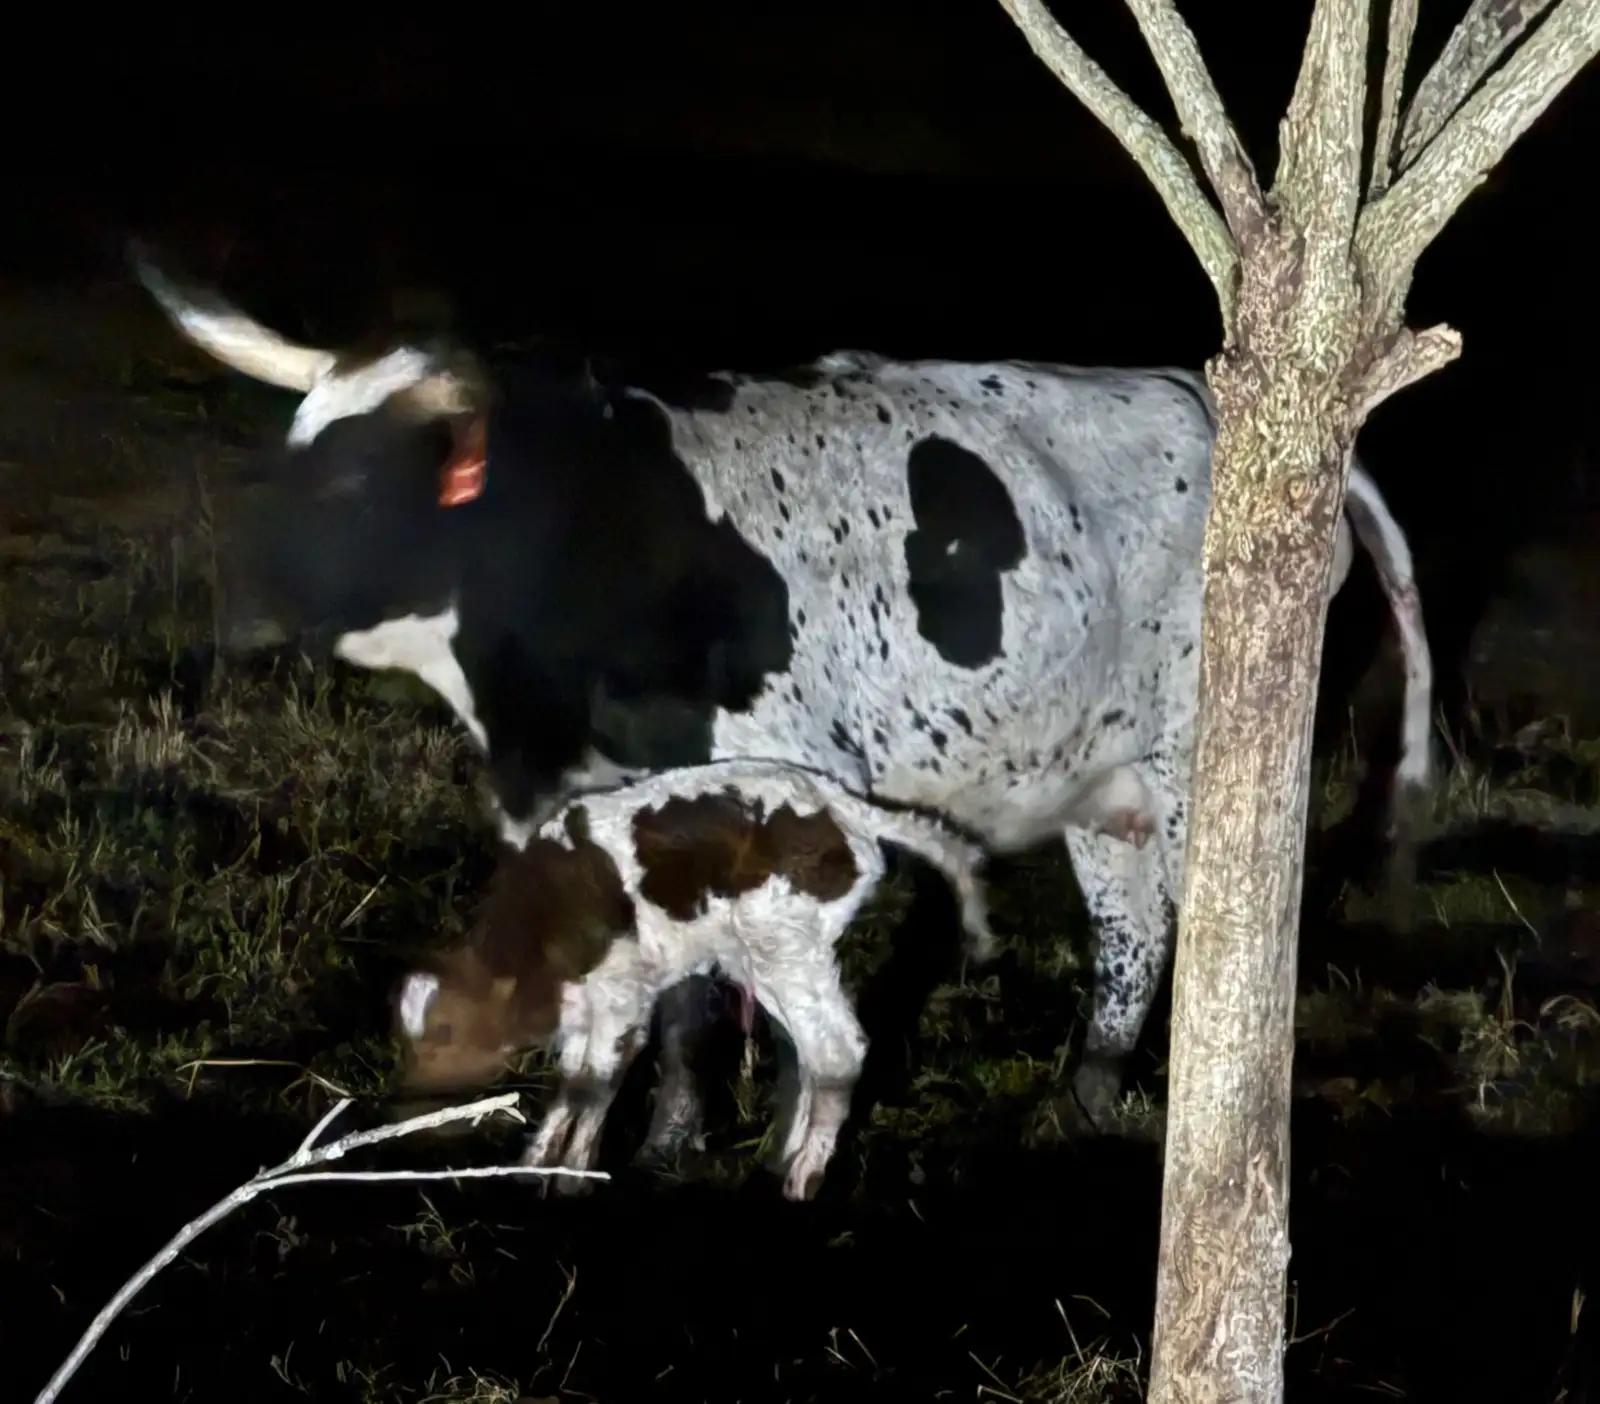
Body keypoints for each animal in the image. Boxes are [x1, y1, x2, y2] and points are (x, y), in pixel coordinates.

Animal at [392, 757, 996, 1200]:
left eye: (448, 1032)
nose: (406, 1099)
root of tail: (847, 810)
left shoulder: (623, 991)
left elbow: (596, 1080)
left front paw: (572, 1179)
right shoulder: (586, 1006)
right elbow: (572, 1077)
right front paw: (535, 1165)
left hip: (786, 945)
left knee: (837, 1049)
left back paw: (804, 1179)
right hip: (764, 958)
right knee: (807, 1048)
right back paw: (784, 1160)